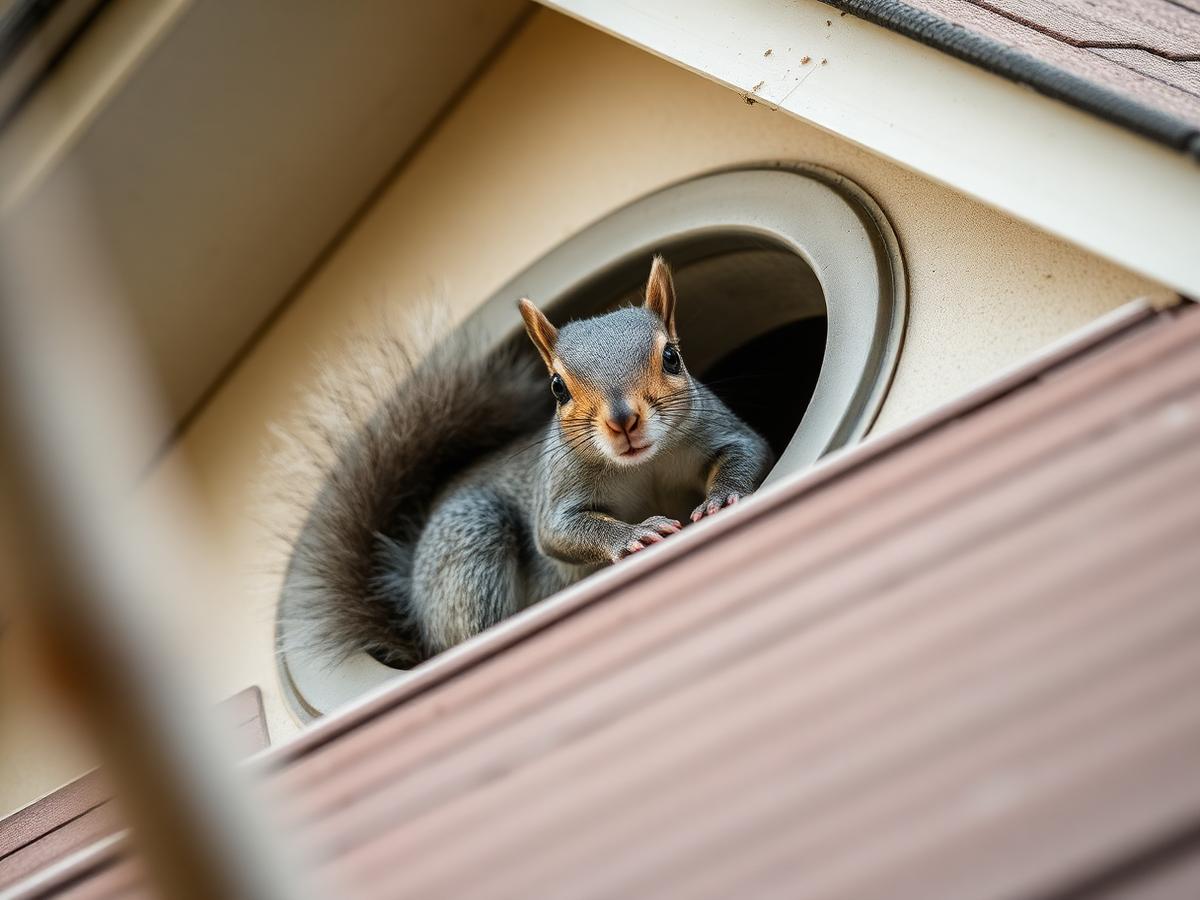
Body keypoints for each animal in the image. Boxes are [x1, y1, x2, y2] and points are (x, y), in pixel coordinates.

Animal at [281, 256, 773, 668]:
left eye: (671, 357)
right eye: (557, 387)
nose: (623, 421)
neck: (642, 466)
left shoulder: (716, 429)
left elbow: (748, 451)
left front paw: (721, 497)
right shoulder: (557, 486)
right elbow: (556, 532)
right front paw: (634, 534)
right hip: (472, 537)